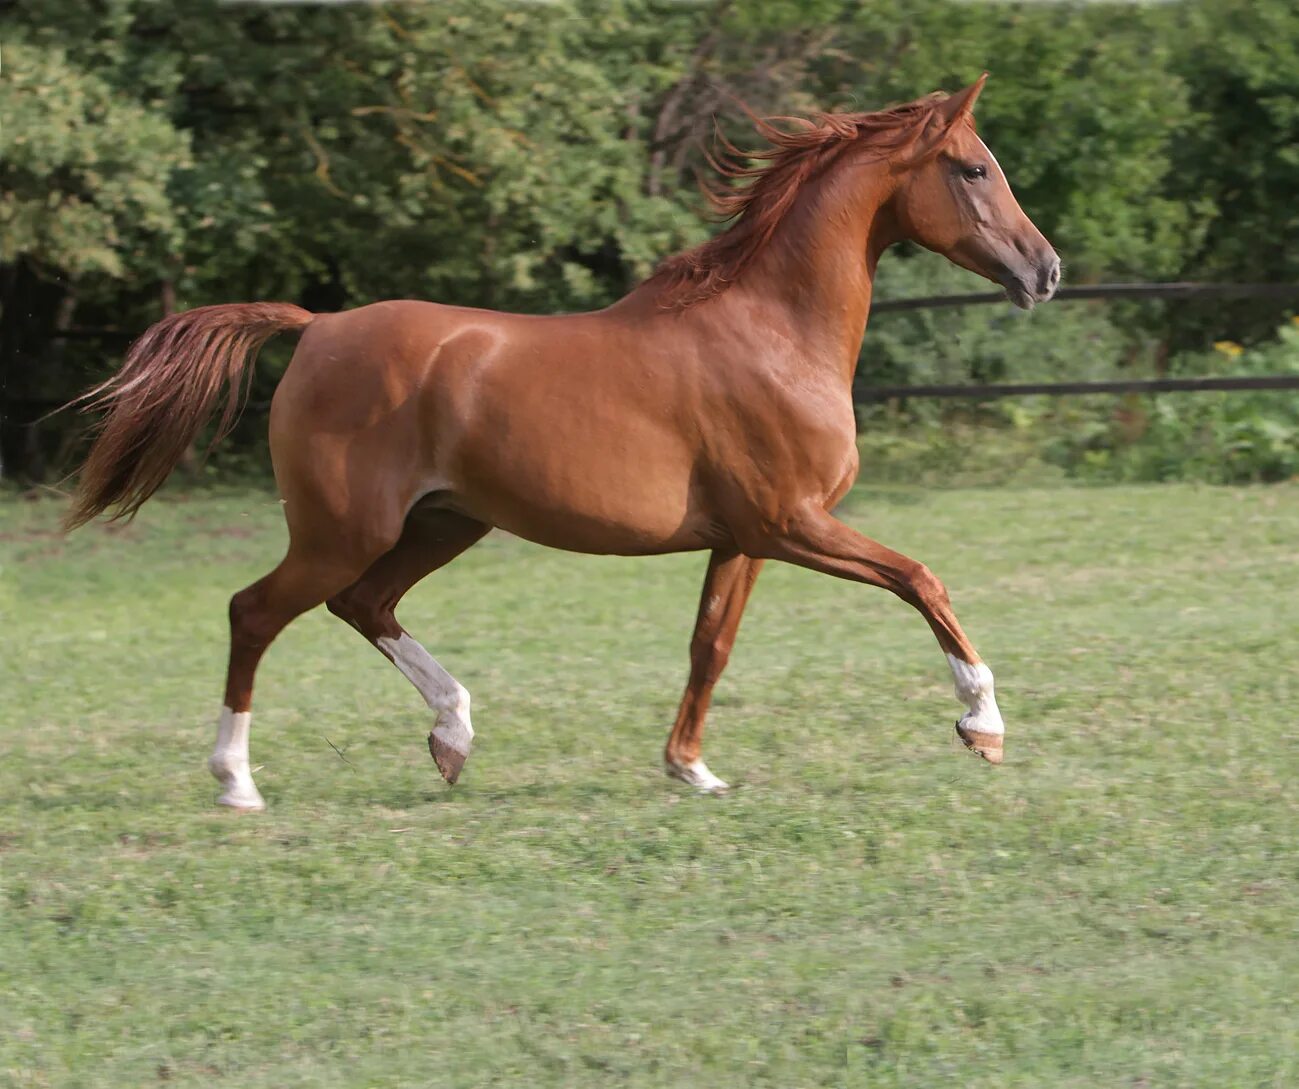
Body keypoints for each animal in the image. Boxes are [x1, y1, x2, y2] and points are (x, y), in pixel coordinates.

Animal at [65, 76, 1054, 810]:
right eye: (974, 168)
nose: (1044, 271)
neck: (772, 330)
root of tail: (318, 326)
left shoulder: (743, 538)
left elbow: (709, 646)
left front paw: (690, 767)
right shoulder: (792, 523)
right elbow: (921, 579)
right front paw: (983, 725)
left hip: (441, 523)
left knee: (364, 605)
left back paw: (453, 738)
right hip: (342, 530)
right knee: (256, 612)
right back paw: (237, 782)